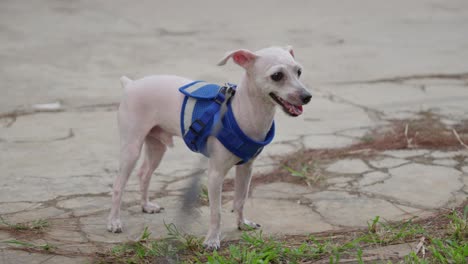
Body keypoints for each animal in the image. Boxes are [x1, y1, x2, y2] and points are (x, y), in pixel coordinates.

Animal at [108, 46, 312, 250]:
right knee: (119, 185)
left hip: (156, 147)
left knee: (144, 173)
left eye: (299, 72)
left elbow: (240, 199)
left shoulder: (246, 168)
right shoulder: (215, 175)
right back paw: (114, 222)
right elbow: (217, 212)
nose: (307, 97)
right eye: (277, 76)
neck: (241, 112)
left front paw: (242, 224)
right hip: (131, 148)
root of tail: (131, 85)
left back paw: (146, 205)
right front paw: (212, 240)